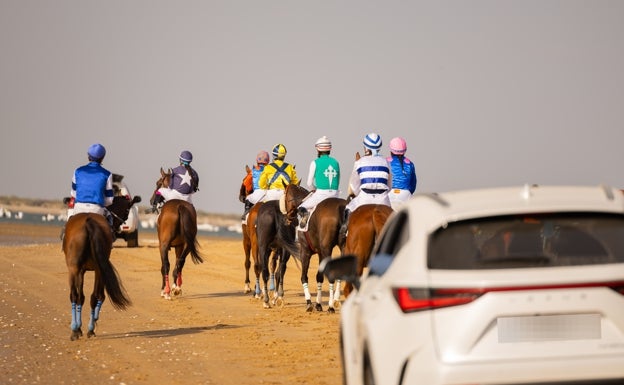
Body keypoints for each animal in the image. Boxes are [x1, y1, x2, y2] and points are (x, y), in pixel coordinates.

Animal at [62, 194, 141, 340]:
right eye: (127, 210)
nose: (118, 226)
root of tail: (88, 222)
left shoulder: (84, 271)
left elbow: (86, 296)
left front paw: (82, 326)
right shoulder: (91, 270)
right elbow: (94, 296)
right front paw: (88, 323)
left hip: (76, 269)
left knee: (77, 295)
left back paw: (78, 329)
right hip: (93, 270)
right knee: (88, 296)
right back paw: (85, 329)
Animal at [150, 166, 204, 298]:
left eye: (158, 183)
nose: (152, 200)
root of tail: (180, 206)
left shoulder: (162, 245)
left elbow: (164, 265)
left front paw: (163, 290)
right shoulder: (179, 246)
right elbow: (178, 263)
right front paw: (177, 286)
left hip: (164, 244)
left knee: (166, 265)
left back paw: (166, 291)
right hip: (187, 245)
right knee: (180, 263)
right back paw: (176, 288)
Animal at [282, 183, 348, 312]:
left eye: (285, 197)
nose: (287, 217)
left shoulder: (305, 252)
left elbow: (304, 277)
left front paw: (309, 303)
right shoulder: (320, 253)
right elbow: (319, 276)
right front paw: (318, 303)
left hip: (327, 249)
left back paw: (331, 306)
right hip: (343, 247)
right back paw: (336, 301)